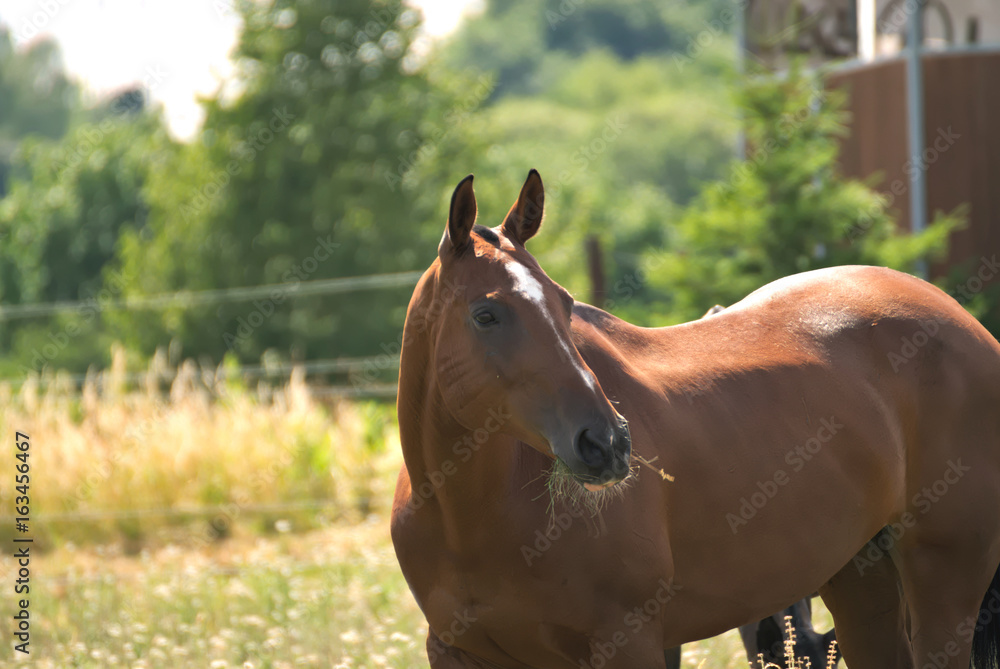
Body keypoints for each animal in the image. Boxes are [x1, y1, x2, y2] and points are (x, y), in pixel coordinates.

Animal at [391, 170, 1000, 668]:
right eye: (485, 315)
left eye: (564, 303)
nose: (607, 444)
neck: (469, 518)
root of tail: (967, 326)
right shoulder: (457, 653)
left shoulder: (629, 642)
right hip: (859, 578)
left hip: (945, 579)